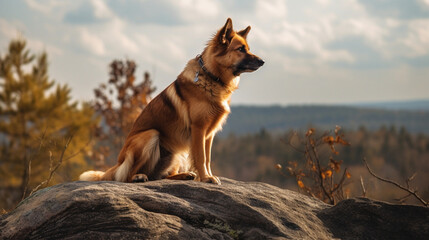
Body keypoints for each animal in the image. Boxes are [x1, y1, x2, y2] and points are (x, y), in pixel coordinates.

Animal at [78, 17, 262, 185]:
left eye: (248, 49)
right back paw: (138, 177)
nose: (263, 61)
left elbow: (208, 158)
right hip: (150, 135)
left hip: (175, 153)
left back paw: (183, 175)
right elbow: (201, 157)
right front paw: (206, 178)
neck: (211, 76)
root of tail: (117, 164)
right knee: (127, 176)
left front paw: (208, 176)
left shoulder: (209, 134)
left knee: (160, 176)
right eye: (240, 49)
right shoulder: (199, 129)